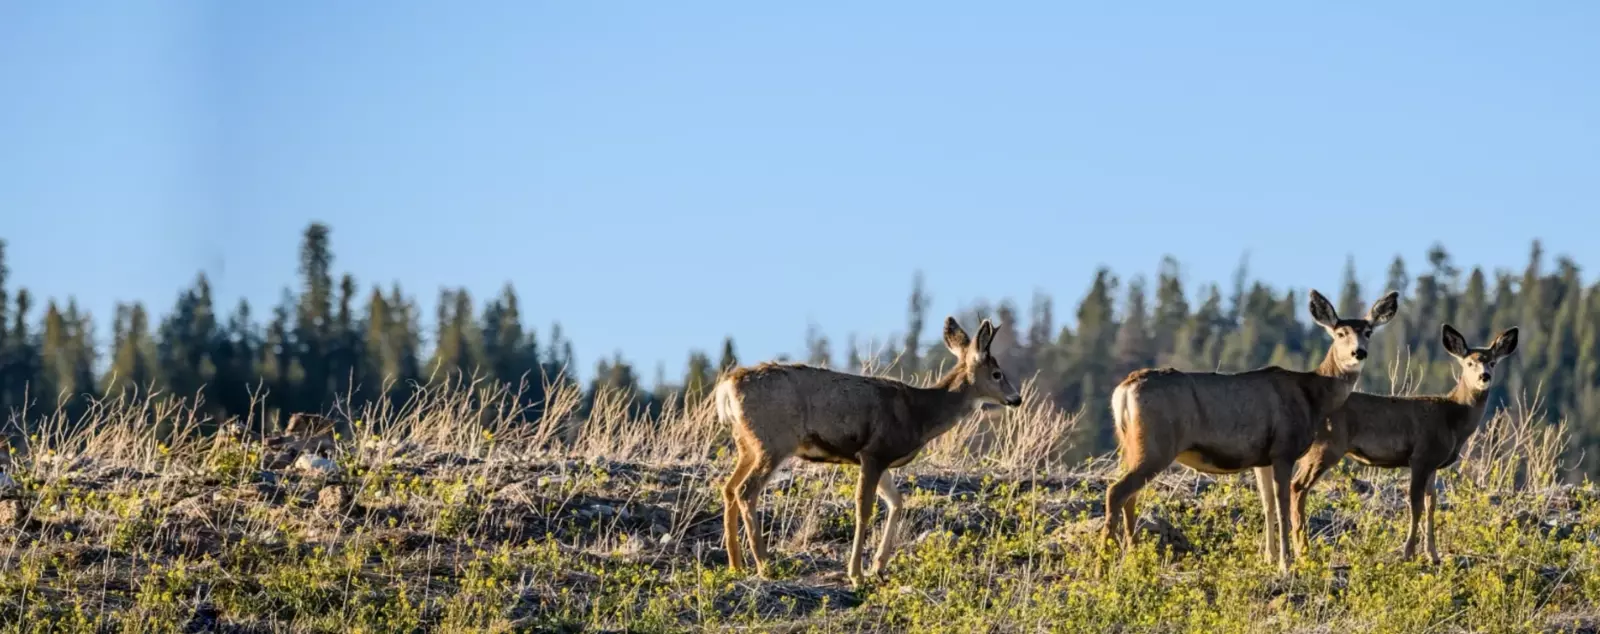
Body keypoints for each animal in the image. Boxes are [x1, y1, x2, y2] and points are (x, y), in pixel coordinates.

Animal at [716, 317, 1017, 589]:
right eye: (997, 374)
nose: (1017, 398)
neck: (920, 414)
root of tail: (727, 387)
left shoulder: (882, 460)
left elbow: (897, 502)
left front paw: (879, 567)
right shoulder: (874, 452)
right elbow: (864, 509)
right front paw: (856, 574)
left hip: (748, 444)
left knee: (728, 487)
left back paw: (736, 564)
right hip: (774, 441)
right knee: (745, 490)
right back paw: (764, 565)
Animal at [1100, 286, 1401, 569]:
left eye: (1368, 332)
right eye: (1340, 333)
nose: (1358, 352)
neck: (1313, 396)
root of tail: (1123, 390)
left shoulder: (1262, 458)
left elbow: (1266, 505)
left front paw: (1268, 558)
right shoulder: (1284, 448)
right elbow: (1282, 505)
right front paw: (1285, 563)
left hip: (1131, 445)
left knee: (1129, 495)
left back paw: (1134, 558)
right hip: (1157, 445)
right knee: (1117, 491)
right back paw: (1103, 565)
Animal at [1286, 325, 1523, 563]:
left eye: (1492, 362)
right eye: (1469, 363)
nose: (1485, 376)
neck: (1452, 417)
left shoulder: (1433, 465)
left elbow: (1431, 504)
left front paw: (1433, 555)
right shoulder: (1421, 456)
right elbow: (1415, 504)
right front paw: (1408, 553)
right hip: (1326, 447)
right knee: (1297, 486)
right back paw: (1302, 551)